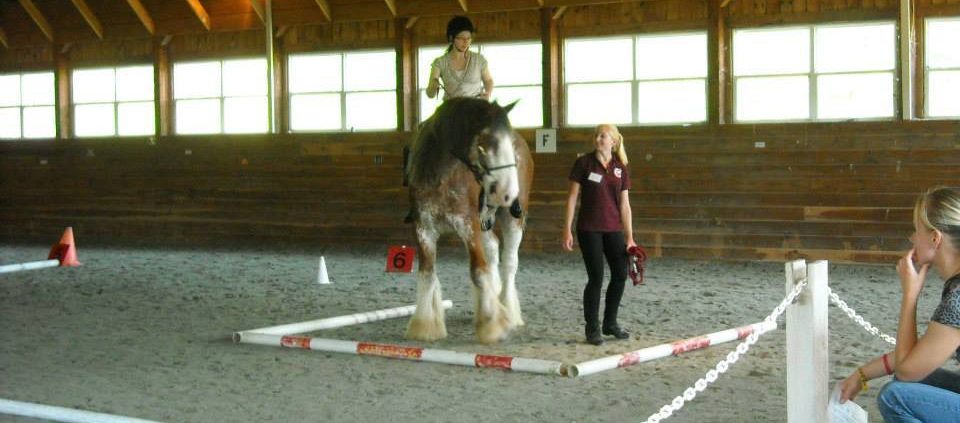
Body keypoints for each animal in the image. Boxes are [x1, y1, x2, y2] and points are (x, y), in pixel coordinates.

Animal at [404, 97, 536, 344]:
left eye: (508, 145)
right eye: (483, 145)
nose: (507, 192)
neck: (442, 175)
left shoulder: (468, 226)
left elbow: (478, 270)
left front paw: (492, 326)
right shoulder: (423, 229)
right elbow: (427, 272)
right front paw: (424, 325)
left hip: (512, 218)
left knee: (509, 261)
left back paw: (508, 309)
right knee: (493, 249)